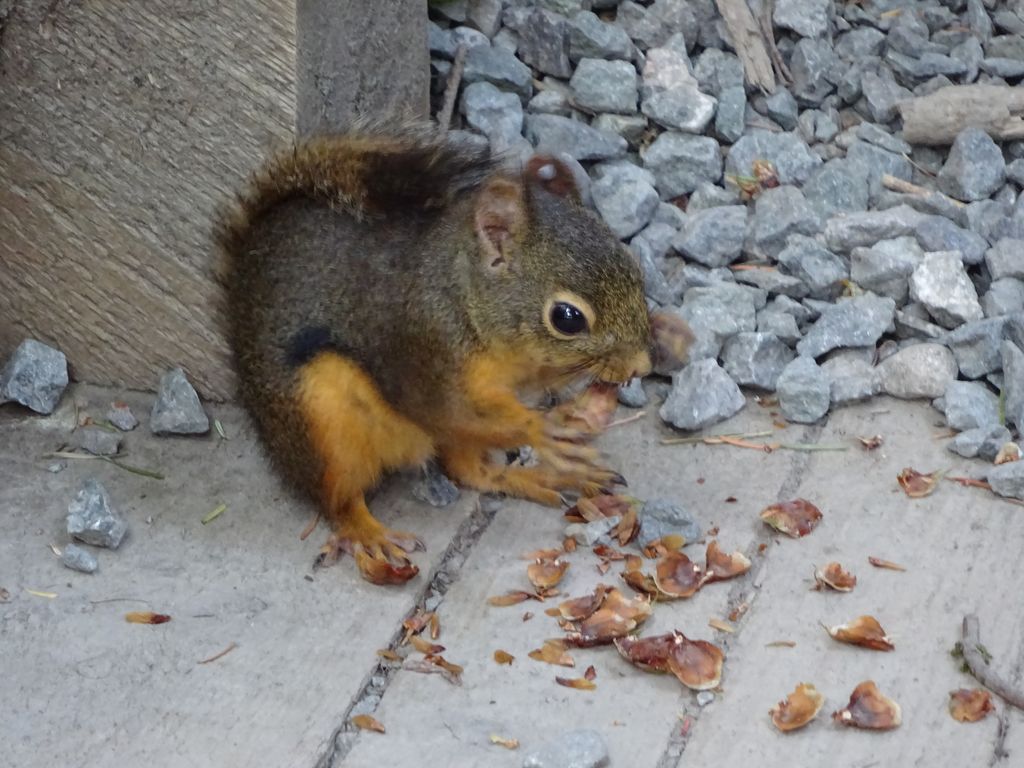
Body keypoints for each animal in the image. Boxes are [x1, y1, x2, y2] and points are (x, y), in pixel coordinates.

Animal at [220, 126, 659, 581]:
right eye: (567, 318)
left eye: (633, 268)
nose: (642, 365)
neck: (462, 299)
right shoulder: (424, 354)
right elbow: (451, 411)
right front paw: (543, 427)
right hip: (320, 423)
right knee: (336, 498)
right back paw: (368, 532)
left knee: (472, 472)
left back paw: (538, 478)